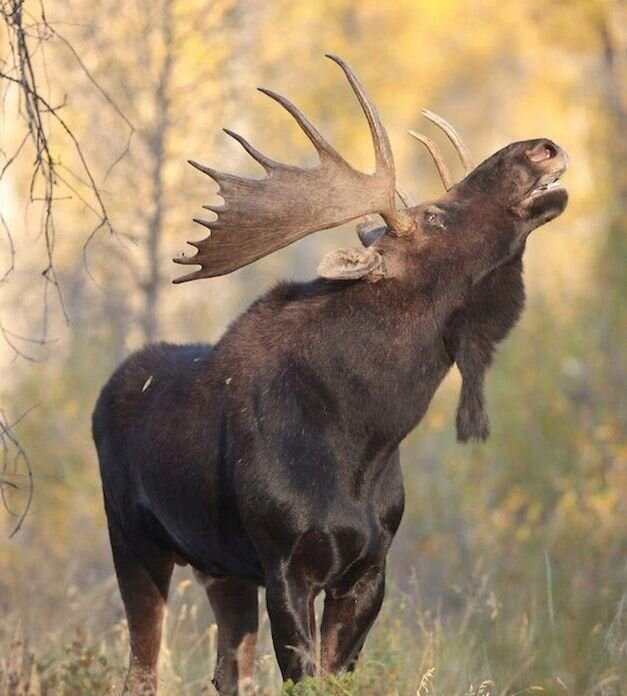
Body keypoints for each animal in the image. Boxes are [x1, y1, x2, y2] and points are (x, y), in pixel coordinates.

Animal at [93, 55, 568, 696]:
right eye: (434, 215)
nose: (540, 148)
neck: (365, 432)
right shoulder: (285, 565)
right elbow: (306, 675)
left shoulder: (369, 568)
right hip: (135, 542)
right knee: (143, 667)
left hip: (222, 568)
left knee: (226, 671)